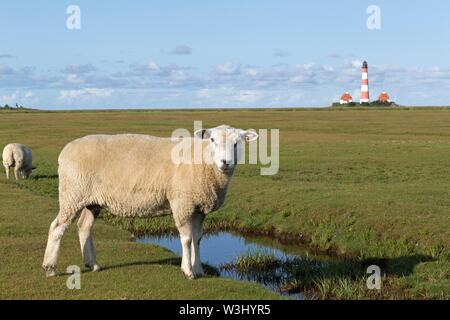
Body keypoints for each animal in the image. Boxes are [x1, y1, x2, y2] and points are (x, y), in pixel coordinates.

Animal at [44, 125, 258, 280]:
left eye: (238, 143)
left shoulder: (198, 208)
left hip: (91, 199)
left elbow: (197, 238)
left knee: (84, 226)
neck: (203, 163)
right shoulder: (182, 203)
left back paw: (92, 264)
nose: (225, 162)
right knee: (57, 227)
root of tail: (65, 151)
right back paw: (49, 268)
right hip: (73, 193)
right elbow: (187, 239)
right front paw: (188, 271)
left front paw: (198, 269)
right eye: (212, 140)